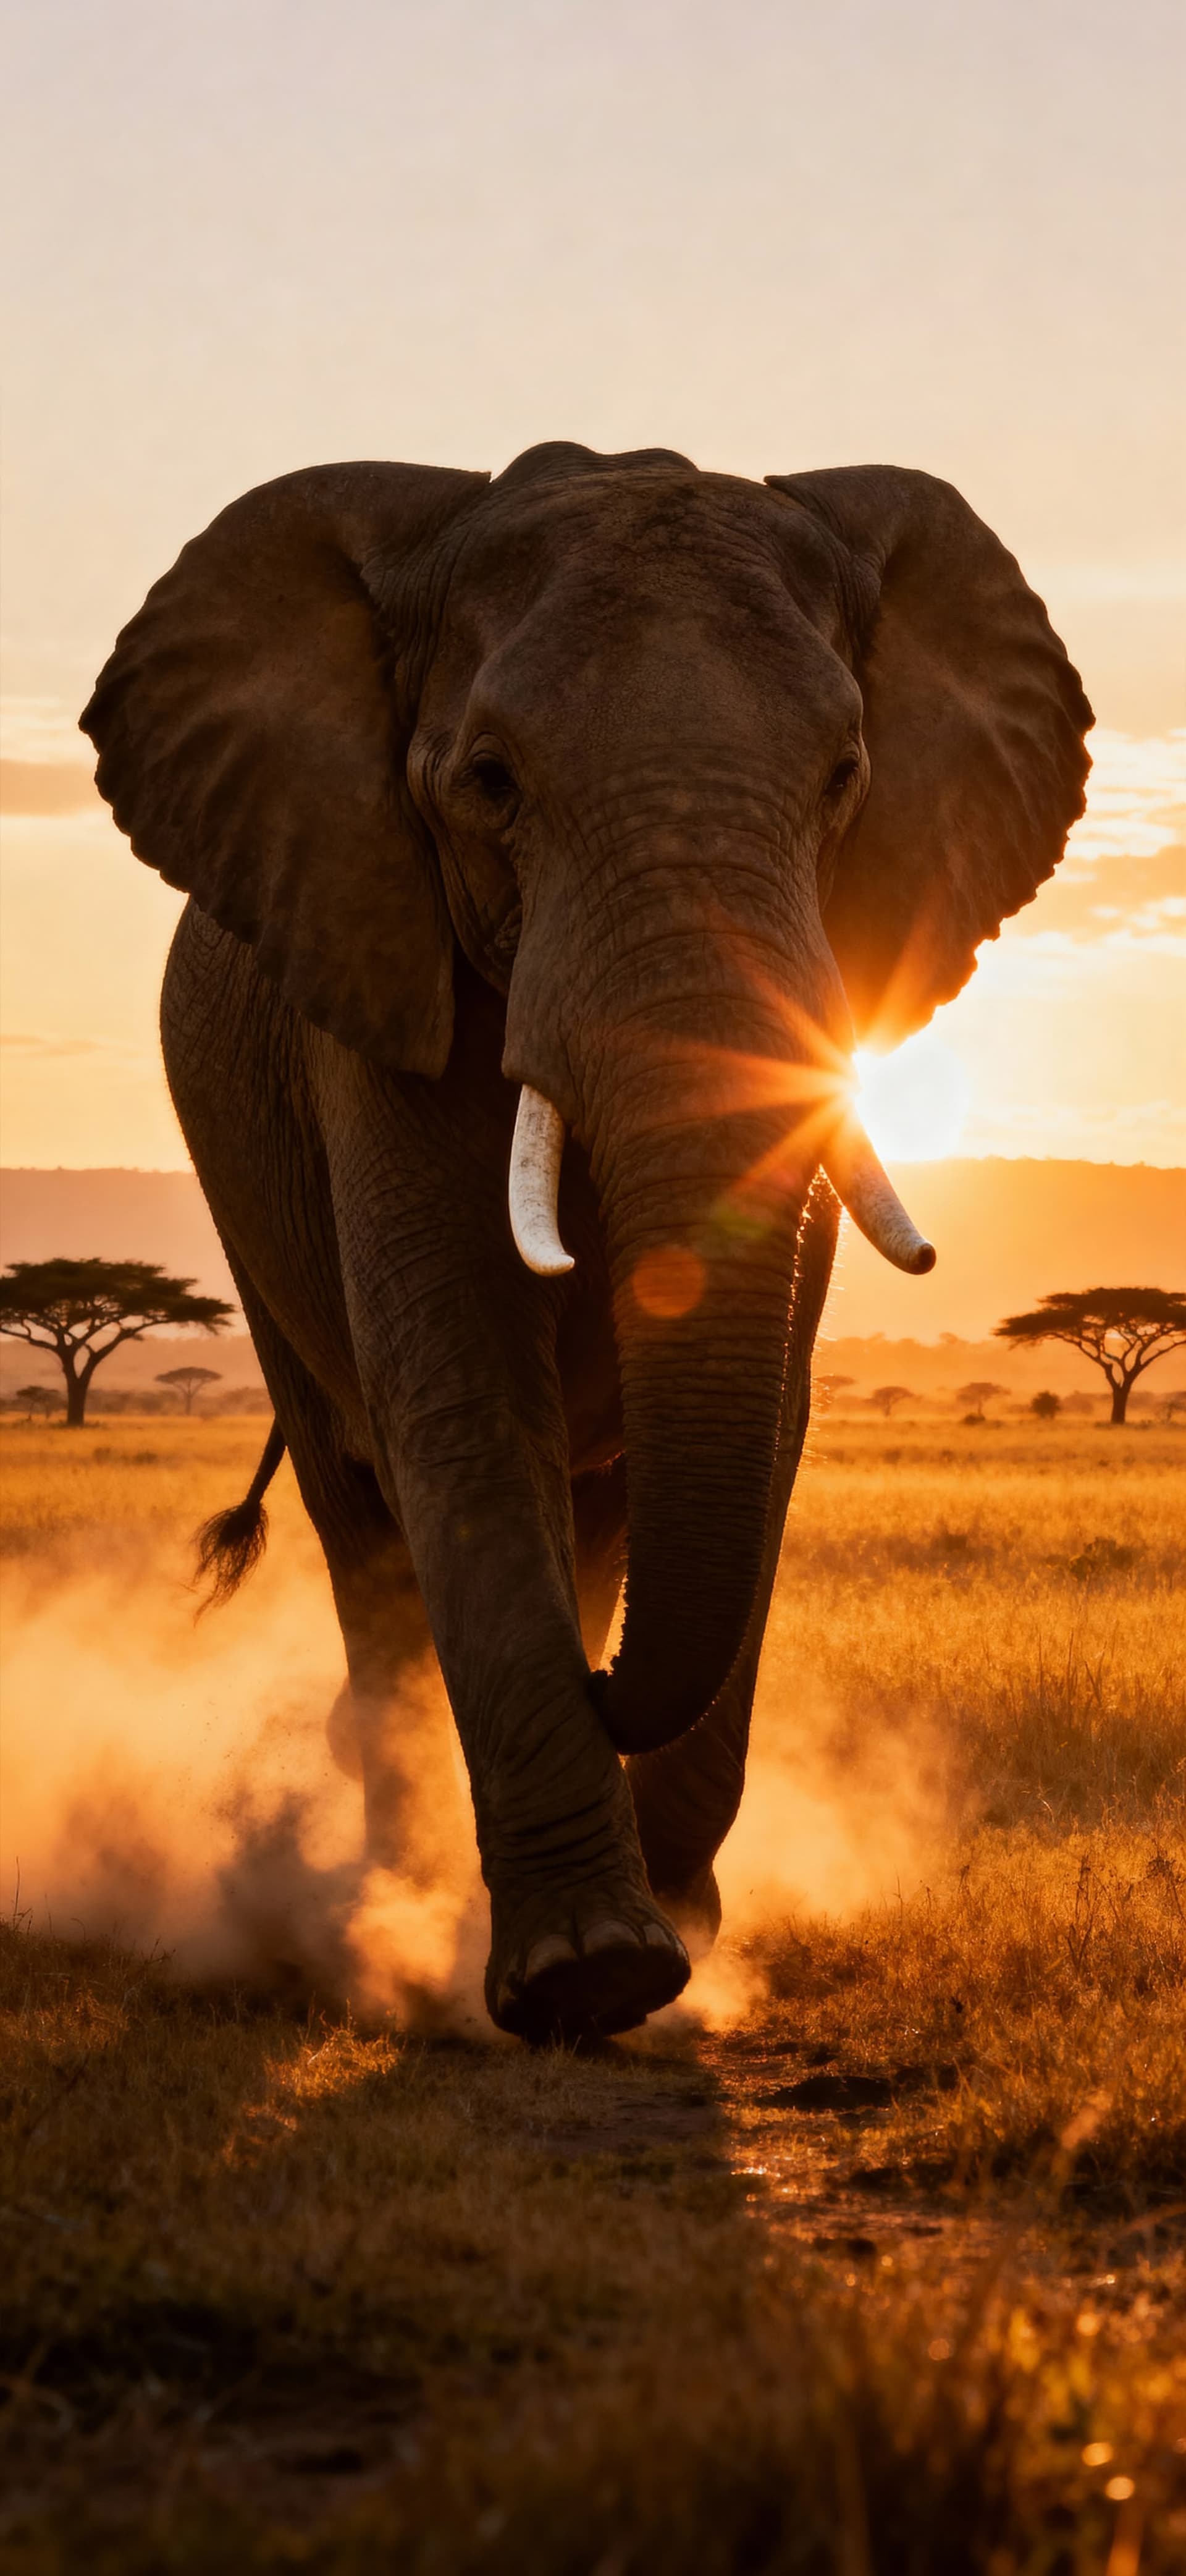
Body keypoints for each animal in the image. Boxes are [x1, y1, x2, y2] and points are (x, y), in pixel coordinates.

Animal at [81, 442, 1092, 2042]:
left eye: (845, 780)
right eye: (490, 783)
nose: (609, 1684)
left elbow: (771, 1421)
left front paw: (674, 1942)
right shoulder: (375, 977)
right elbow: (462, 1396)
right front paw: (588, 1975)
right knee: (363, 1518)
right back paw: (385, 1902)